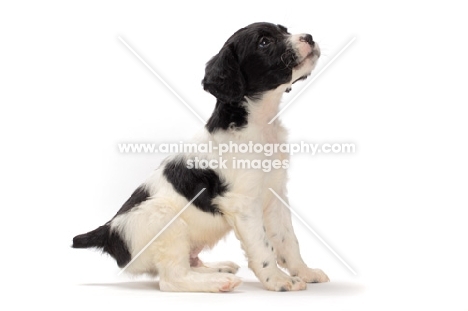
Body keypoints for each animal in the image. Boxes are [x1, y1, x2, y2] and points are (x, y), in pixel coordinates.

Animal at [73, 22, 330, 292]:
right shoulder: (243, 204)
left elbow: (288, 240)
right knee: (172, 279)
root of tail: (108, 231)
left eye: (284, 30)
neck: (257, 124)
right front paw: (278, 280)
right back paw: (218, 282)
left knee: (189, 265)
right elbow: (263, 247)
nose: (309, 37)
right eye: (264, 42)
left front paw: (304, 271)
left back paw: (218, 268)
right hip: (165, 218)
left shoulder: (275, 194)